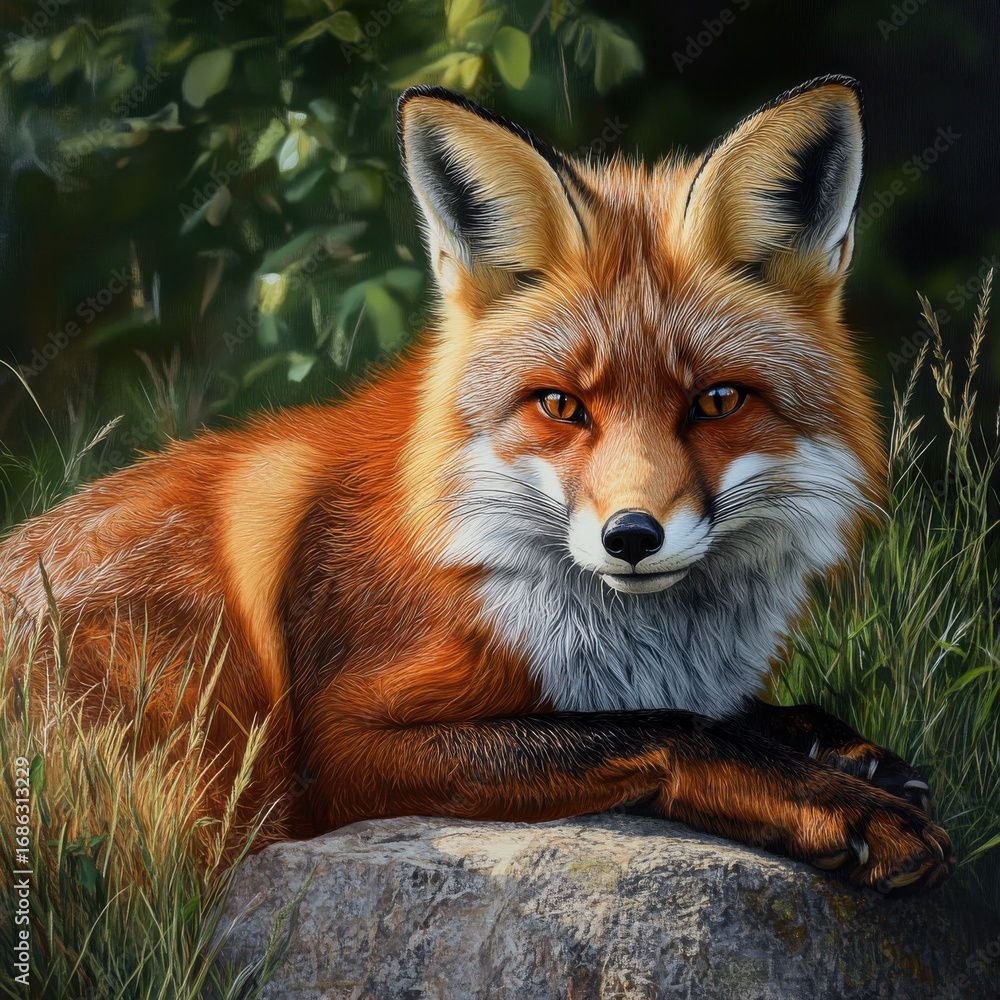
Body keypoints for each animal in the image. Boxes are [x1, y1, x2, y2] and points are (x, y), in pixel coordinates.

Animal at [0, 76, 954, 892]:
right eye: (561, 405)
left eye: (717, 401)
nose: (631, 538)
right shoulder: (338, 751)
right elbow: (665, 728)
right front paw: (835, 799)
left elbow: (699, 713)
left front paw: (839, 747)